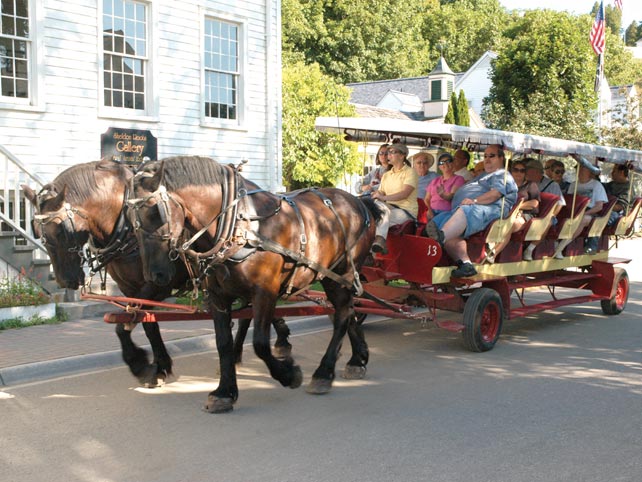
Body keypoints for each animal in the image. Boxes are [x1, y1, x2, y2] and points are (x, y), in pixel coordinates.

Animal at [21, 161, 288, 388]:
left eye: (61, 231)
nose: (65, 280)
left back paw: (277, 341)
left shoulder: (160, 284)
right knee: (249, 312)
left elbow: (130, 323)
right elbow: (145, 323)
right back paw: (244, 350)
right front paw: (157, 365)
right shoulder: (130, 288)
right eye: (38, 232)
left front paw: (142, 364)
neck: (124, 227)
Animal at [127, 156, 382, 412]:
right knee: (348, 311)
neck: (239, 226)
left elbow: (260, 342)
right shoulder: (217, 296)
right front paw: (224, 392)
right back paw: (357, 358)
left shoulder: (265, 292)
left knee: (342, 314)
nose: (154, 275)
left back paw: (324, 373)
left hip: (341, 274)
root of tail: (358, 201)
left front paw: (289, 374)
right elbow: (223, 343)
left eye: (156, 212)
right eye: (130, 220)